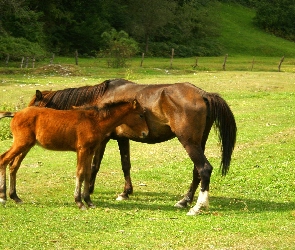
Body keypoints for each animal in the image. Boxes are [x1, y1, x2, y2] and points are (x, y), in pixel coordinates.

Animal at [0, 99, 148, 209]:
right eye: (141, 115)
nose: (145, 133)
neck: (94, 121)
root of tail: (16, 113)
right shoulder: (82, 150)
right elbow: (80, 173)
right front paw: (79, 202)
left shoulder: (90, 151)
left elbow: (87, 173)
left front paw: (89, 201)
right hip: (21, 144)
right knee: (4, 160)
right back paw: (3, 197)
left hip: (26, 146)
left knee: (13, 166)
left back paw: (15, 197)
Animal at [27, 79, 236, 215]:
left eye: (35, 105)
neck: (101, 98)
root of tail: (204, 95)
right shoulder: (122, 139)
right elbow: (125, 164)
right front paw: (126, 192)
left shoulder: (102, 140)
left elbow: (94, 166)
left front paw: (90, 191)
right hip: (199, 142)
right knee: (197, 172)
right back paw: (184, 201)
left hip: (189, 142)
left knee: (204, 169)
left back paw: (197, 206)